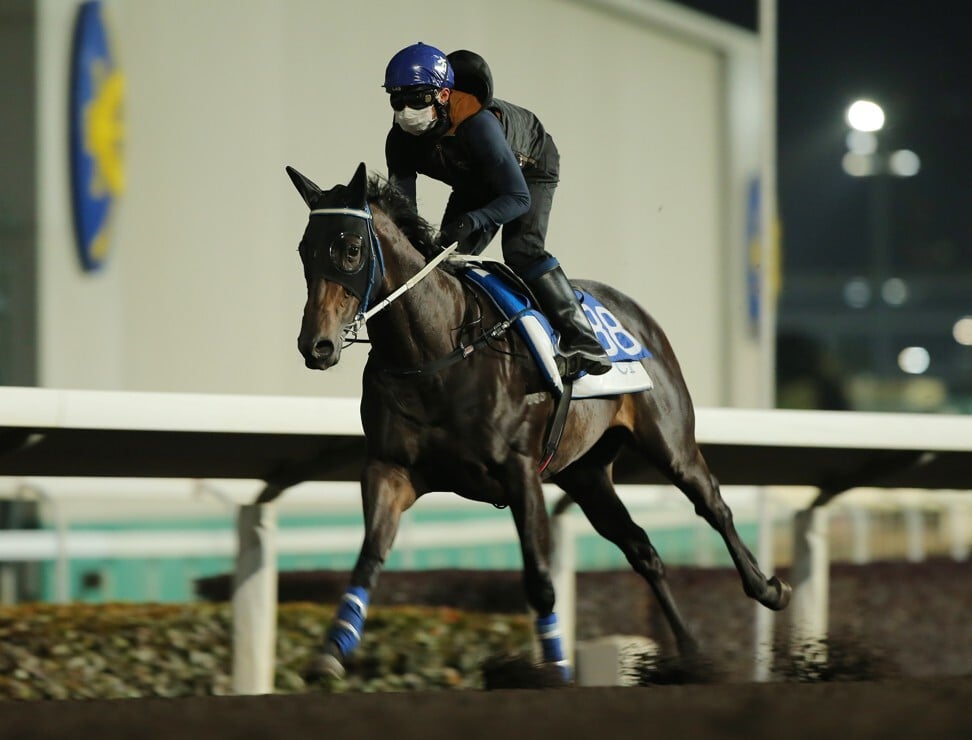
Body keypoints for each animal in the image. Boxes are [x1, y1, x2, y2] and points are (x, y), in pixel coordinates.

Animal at [280, 162, 788, 684]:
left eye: (351, 249)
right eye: (304, 250)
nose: (316, 345)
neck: (436, 355)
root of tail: (632, 312)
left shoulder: (520, 471)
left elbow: (541, 581)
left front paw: (557, 669)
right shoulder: (390, 469)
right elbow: (368, 559)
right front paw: (331, 650)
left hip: (668, 441)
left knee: (713, 506)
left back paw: (767, 589)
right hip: (586, 473)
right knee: (642, 550)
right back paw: (690, 655)